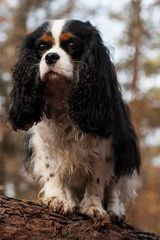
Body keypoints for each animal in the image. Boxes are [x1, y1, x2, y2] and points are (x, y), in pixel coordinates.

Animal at [8, 19, 140, 222]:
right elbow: (52, 170)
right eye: (42, 47)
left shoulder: (106, 146)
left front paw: (93, 207)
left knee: (117, 186)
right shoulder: (44, 142)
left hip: (126, 151)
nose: (50, 57)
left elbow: (97, 180)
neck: (64, 95)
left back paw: (115, 209)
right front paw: (57, 198)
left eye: (71, 44)